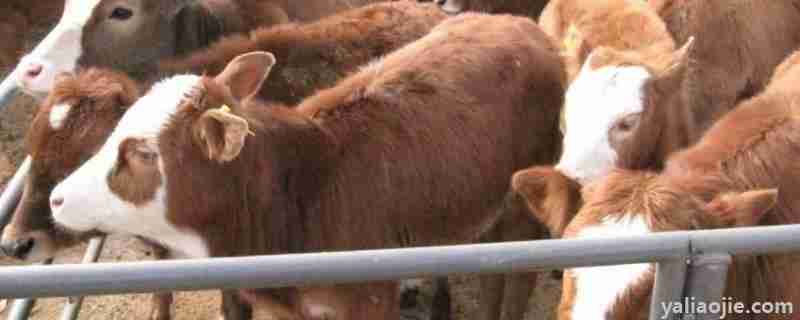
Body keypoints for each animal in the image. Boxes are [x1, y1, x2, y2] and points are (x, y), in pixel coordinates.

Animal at [47, 11, 564, 318]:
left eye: (142, 153)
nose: (57, 198)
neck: (299, 194)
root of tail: (519, 23)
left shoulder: (369, 296)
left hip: (523, 198)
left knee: (517, 273)